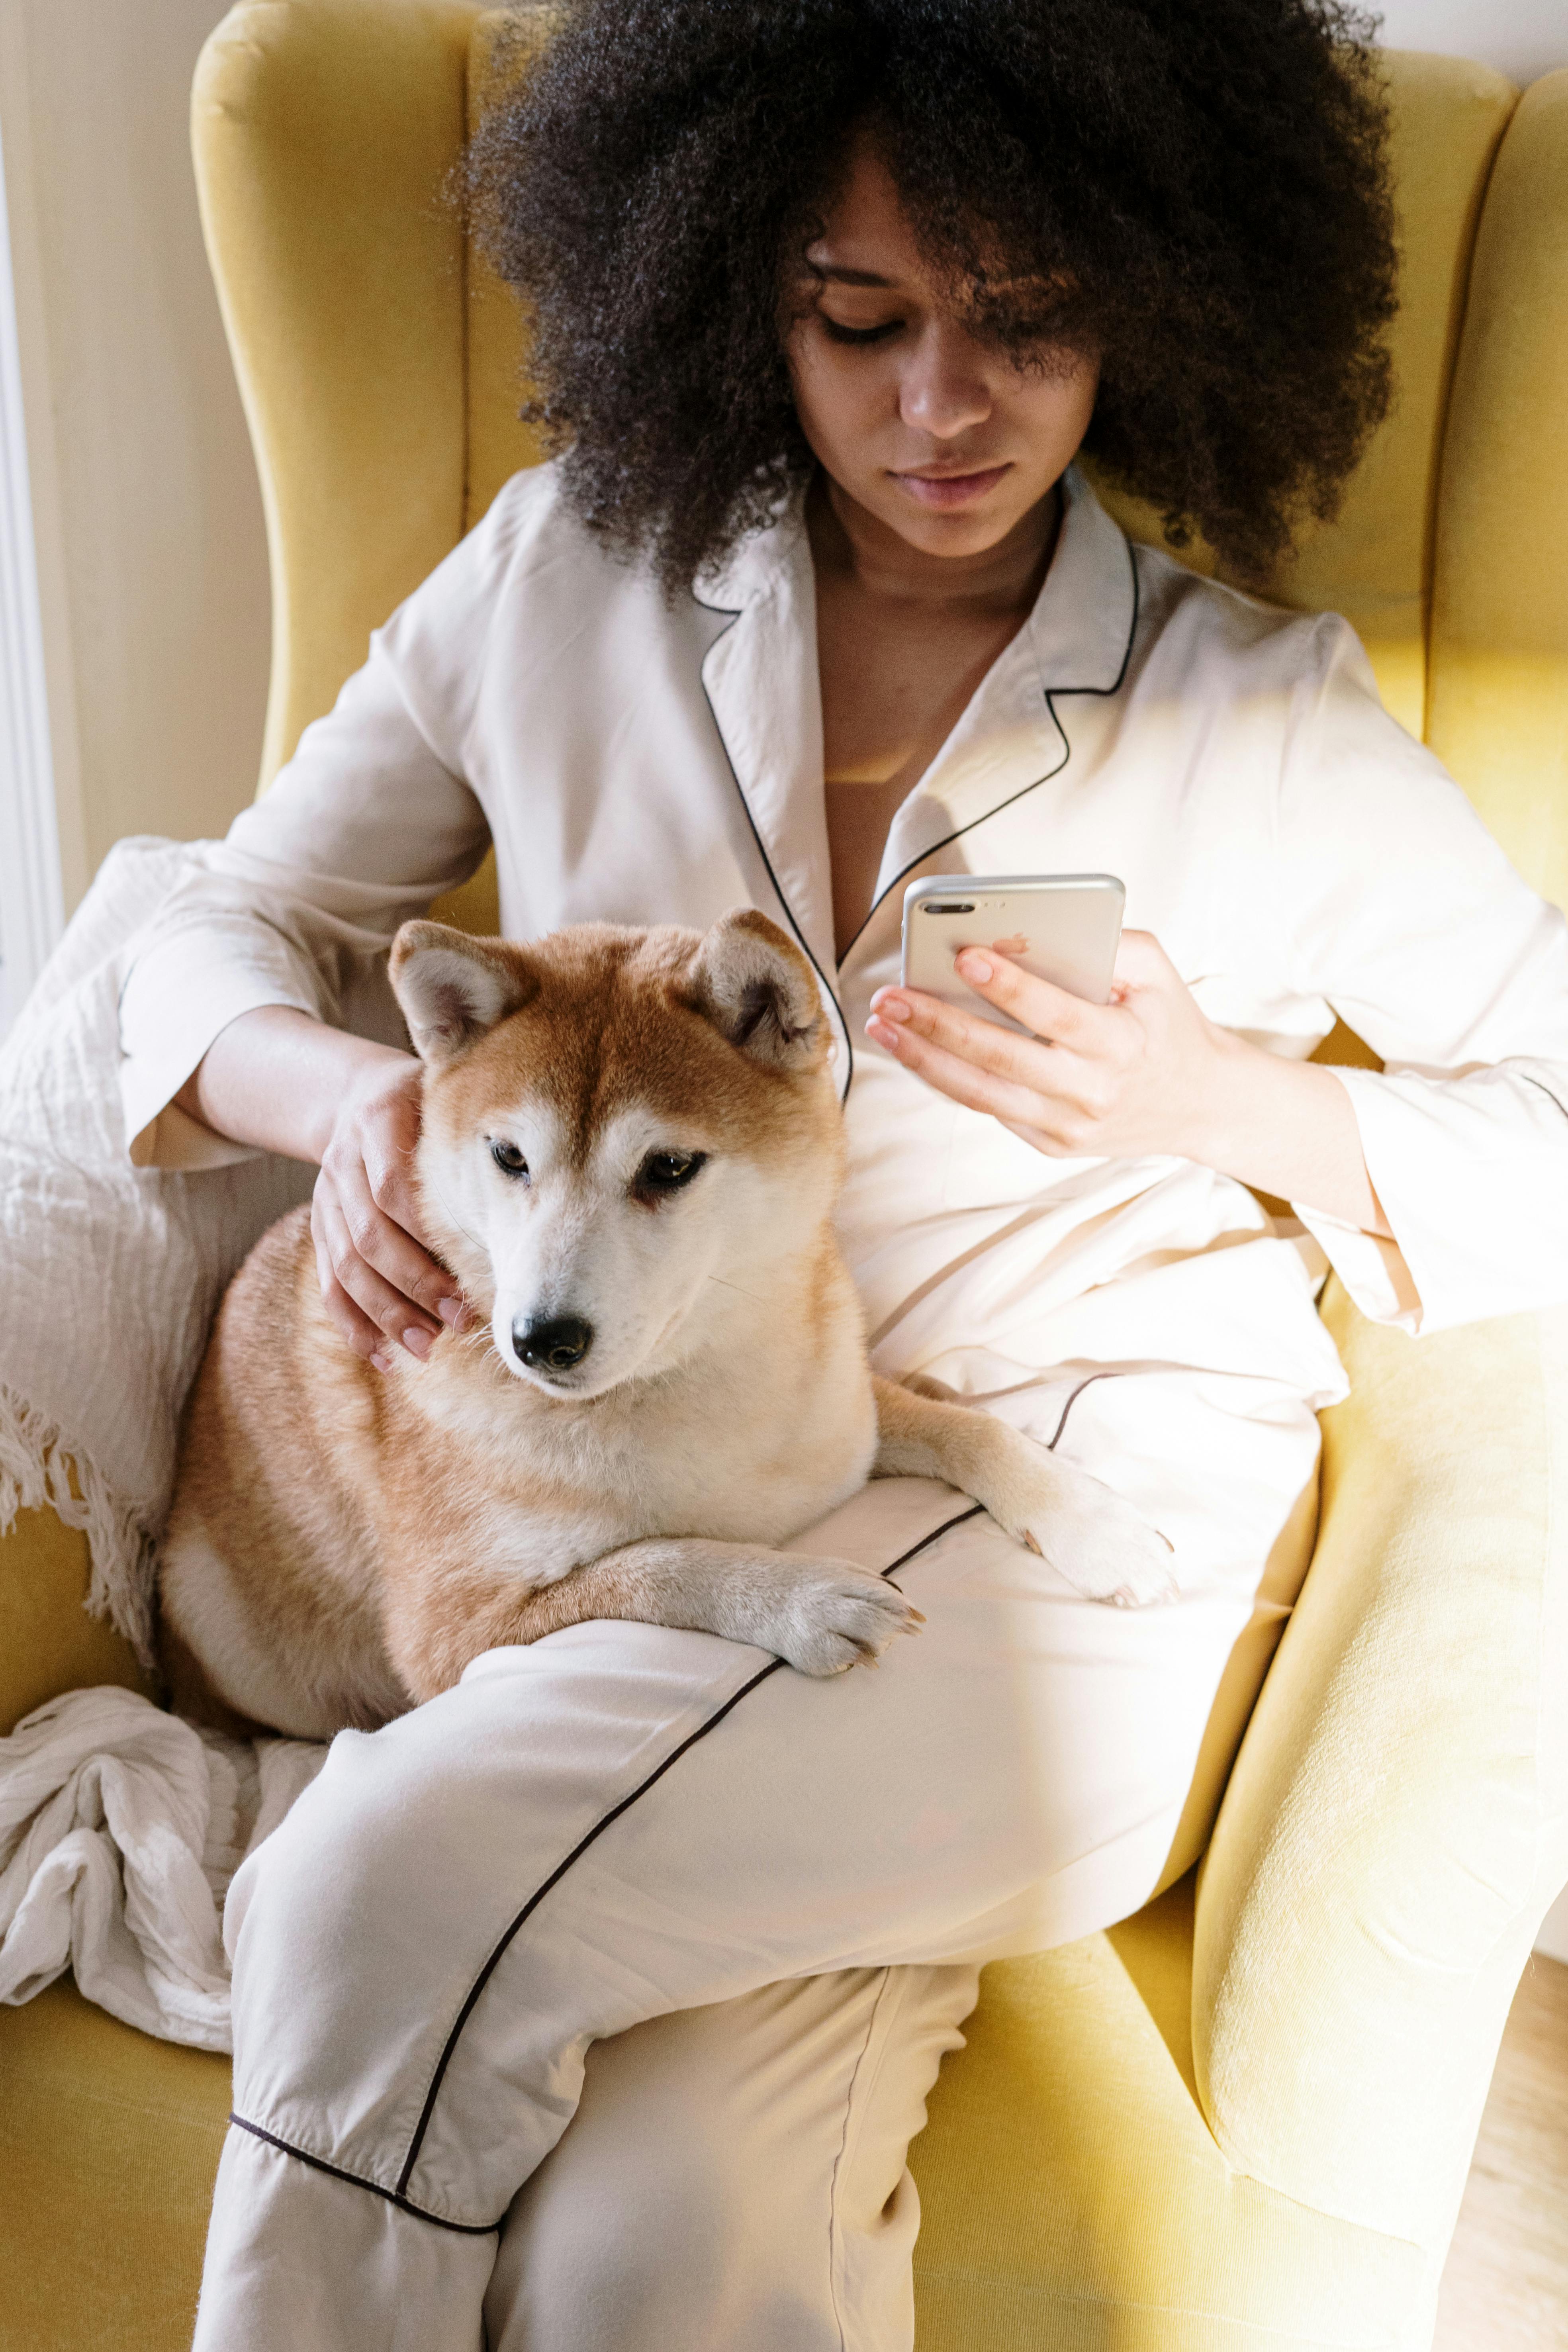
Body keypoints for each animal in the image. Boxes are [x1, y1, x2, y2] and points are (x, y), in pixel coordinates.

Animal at [162, 908, 1175, 1740]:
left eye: (671, 1167)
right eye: (508, 1156)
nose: (540, 1339)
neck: (698, 1395)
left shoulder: (847, 1413)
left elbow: (970, 1431)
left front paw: (1095, 1523)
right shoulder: (452, 1632)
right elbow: (653, 1563)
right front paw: (799, 1595)